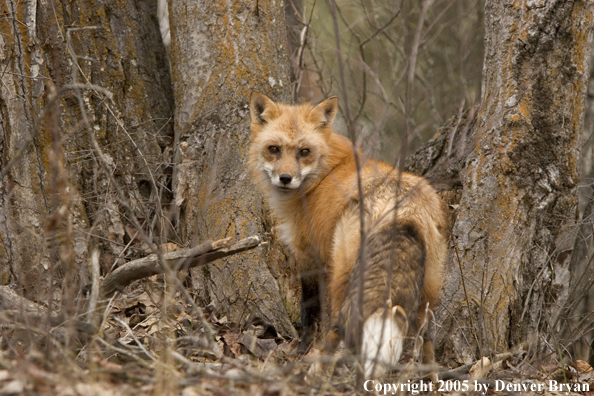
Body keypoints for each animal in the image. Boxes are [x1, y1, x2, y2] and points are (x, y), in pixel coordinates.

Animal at [245, 90, 444, 378]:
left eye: (304, 152)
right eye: (274, 149)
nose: (285, 178)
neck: (327, 170)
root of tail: (406, 211)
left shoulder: (309, 254)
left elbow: (310, 311)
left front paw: (302, 349)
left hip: (344, 273)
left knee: (338, 325)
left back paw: (318, 371)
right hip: (429, 289)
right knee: (427, 339)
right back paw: (432, 379)